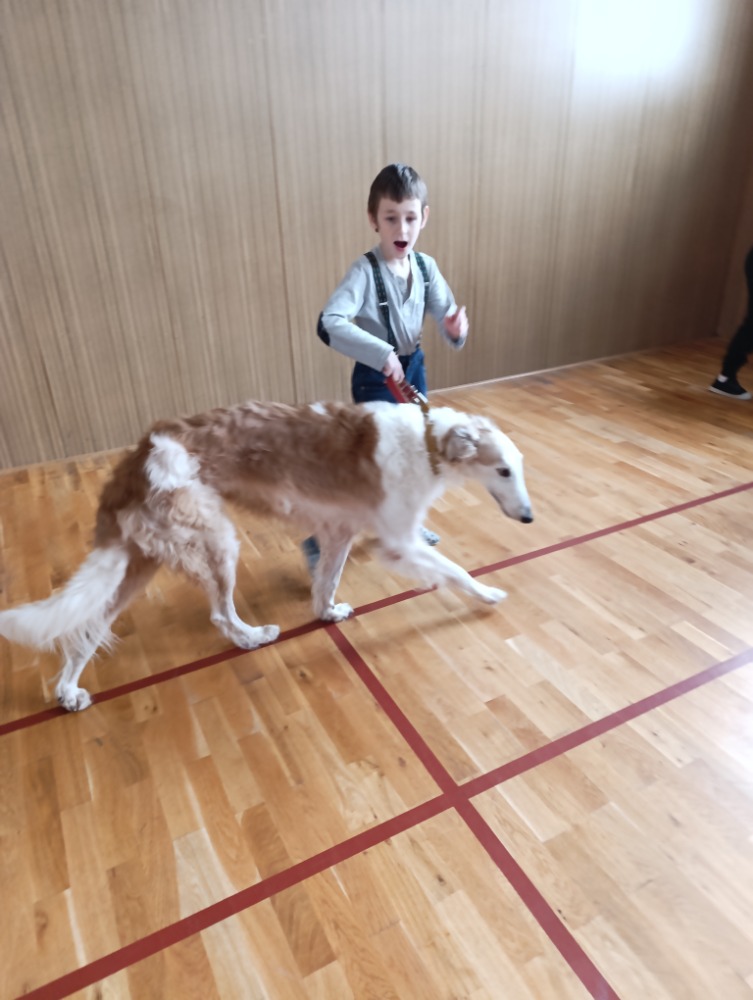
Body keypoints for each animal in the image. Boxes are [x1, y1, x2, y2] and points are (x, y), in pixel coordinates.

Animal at [0, 397, 532, 712]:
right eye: (503, 471)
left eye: (519, 468)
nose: (529, 517)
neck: (426, 441)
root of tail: (137, 457)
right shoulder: (399, 543)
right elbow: (456, 571)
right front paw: (487, 594)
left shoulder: (338, 530)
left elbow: (325, 584)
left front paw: (327, 613)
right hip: (216, 540)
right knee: (220, 615)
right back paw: (254, 636)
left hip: (135, 563)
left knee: (85, 630)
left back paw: (68, 693)